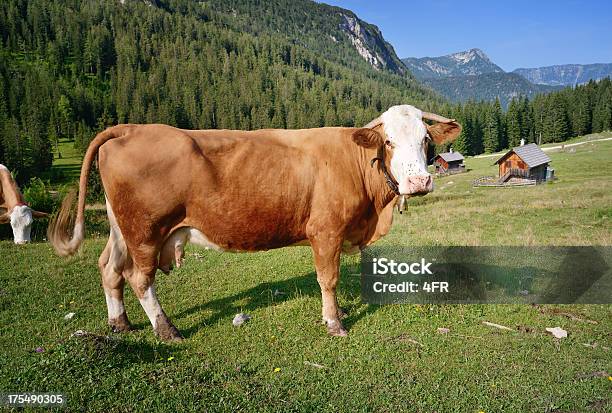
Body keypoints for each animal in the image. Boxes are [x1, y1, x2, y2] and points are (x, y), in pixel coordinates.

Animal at [46, 104, 460, 340]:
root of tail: (132, 127)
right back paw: (166, 330)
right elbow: (328, 279)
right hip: (146, 232)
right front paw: (335, 323)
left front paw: (339, 313)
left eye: (426, 139)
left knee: (109, 268)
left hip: (122, 229)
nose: (419, 182)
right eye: (388, 142)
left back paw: (120, 323)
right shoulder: (325, 231)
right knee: (138, 278)